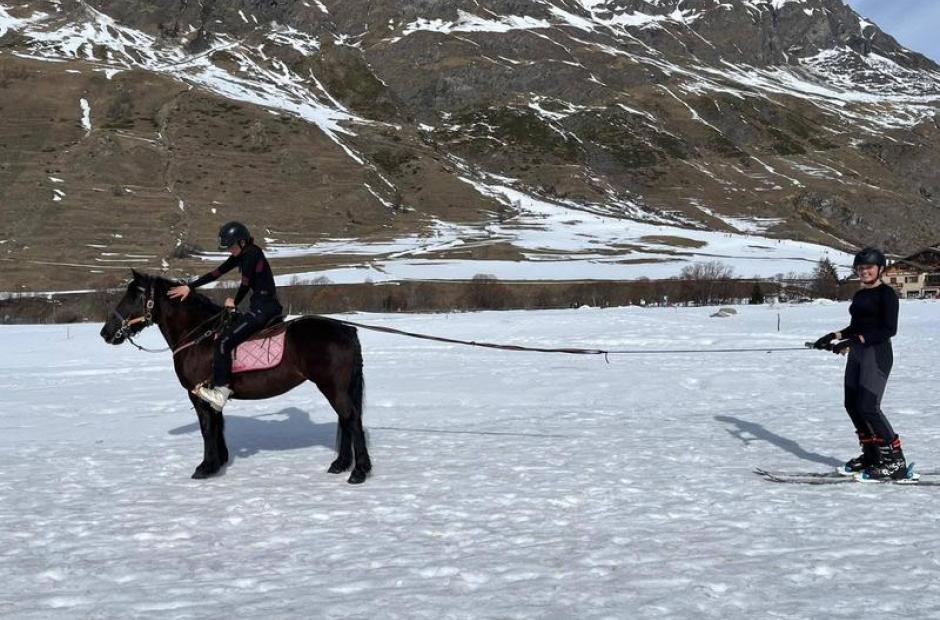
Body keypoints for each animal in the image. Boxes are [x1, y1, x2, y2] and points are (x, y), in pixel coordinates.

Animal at [99, 270, 371, 483]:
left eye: (134, 295)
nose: (105, 332)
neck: (199, 335)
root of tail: (346, 329)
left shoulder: (197, 394)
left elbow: (207, 428)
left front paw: (205, 467)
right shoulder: (211, 394)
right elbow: (217, 426)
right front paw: (219, 462)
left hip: (332, 387)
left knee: (351, 419)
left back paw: (358, 471)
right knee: (346, 420)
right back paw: (340, 464)